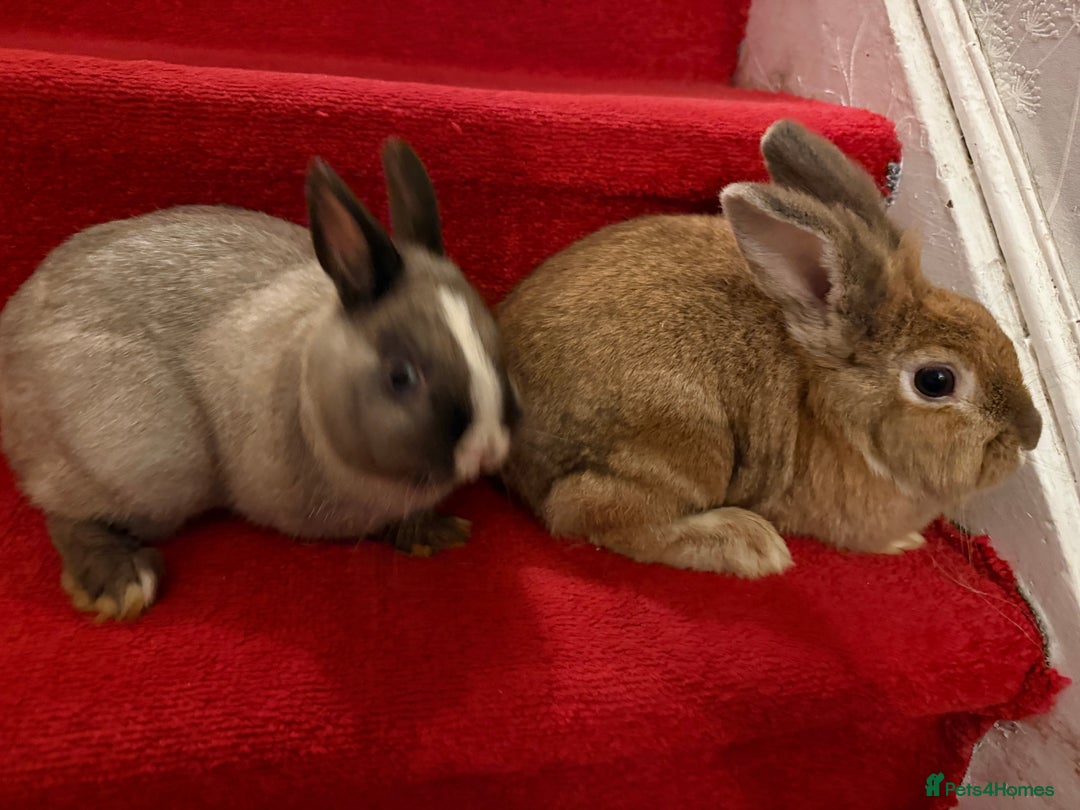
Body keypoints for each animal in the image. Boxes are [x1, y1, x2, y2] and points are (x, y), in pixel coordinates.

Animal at [0, 139, 520, 621]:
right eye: (401, 376)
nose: (487, 449)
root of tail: (11, 334)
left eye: (496, 346)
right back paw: (118, 583)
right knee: (67, 513)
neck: (304, 381)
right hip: (147, 462)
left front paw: (438, 533)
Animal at [496, 119, 1042, 578]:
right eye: (936, 380)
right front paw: (903, 542)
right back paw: (749, 545)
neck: (834, 413)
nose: (1031, 435)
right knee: (584, 510)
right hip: (686, 446)